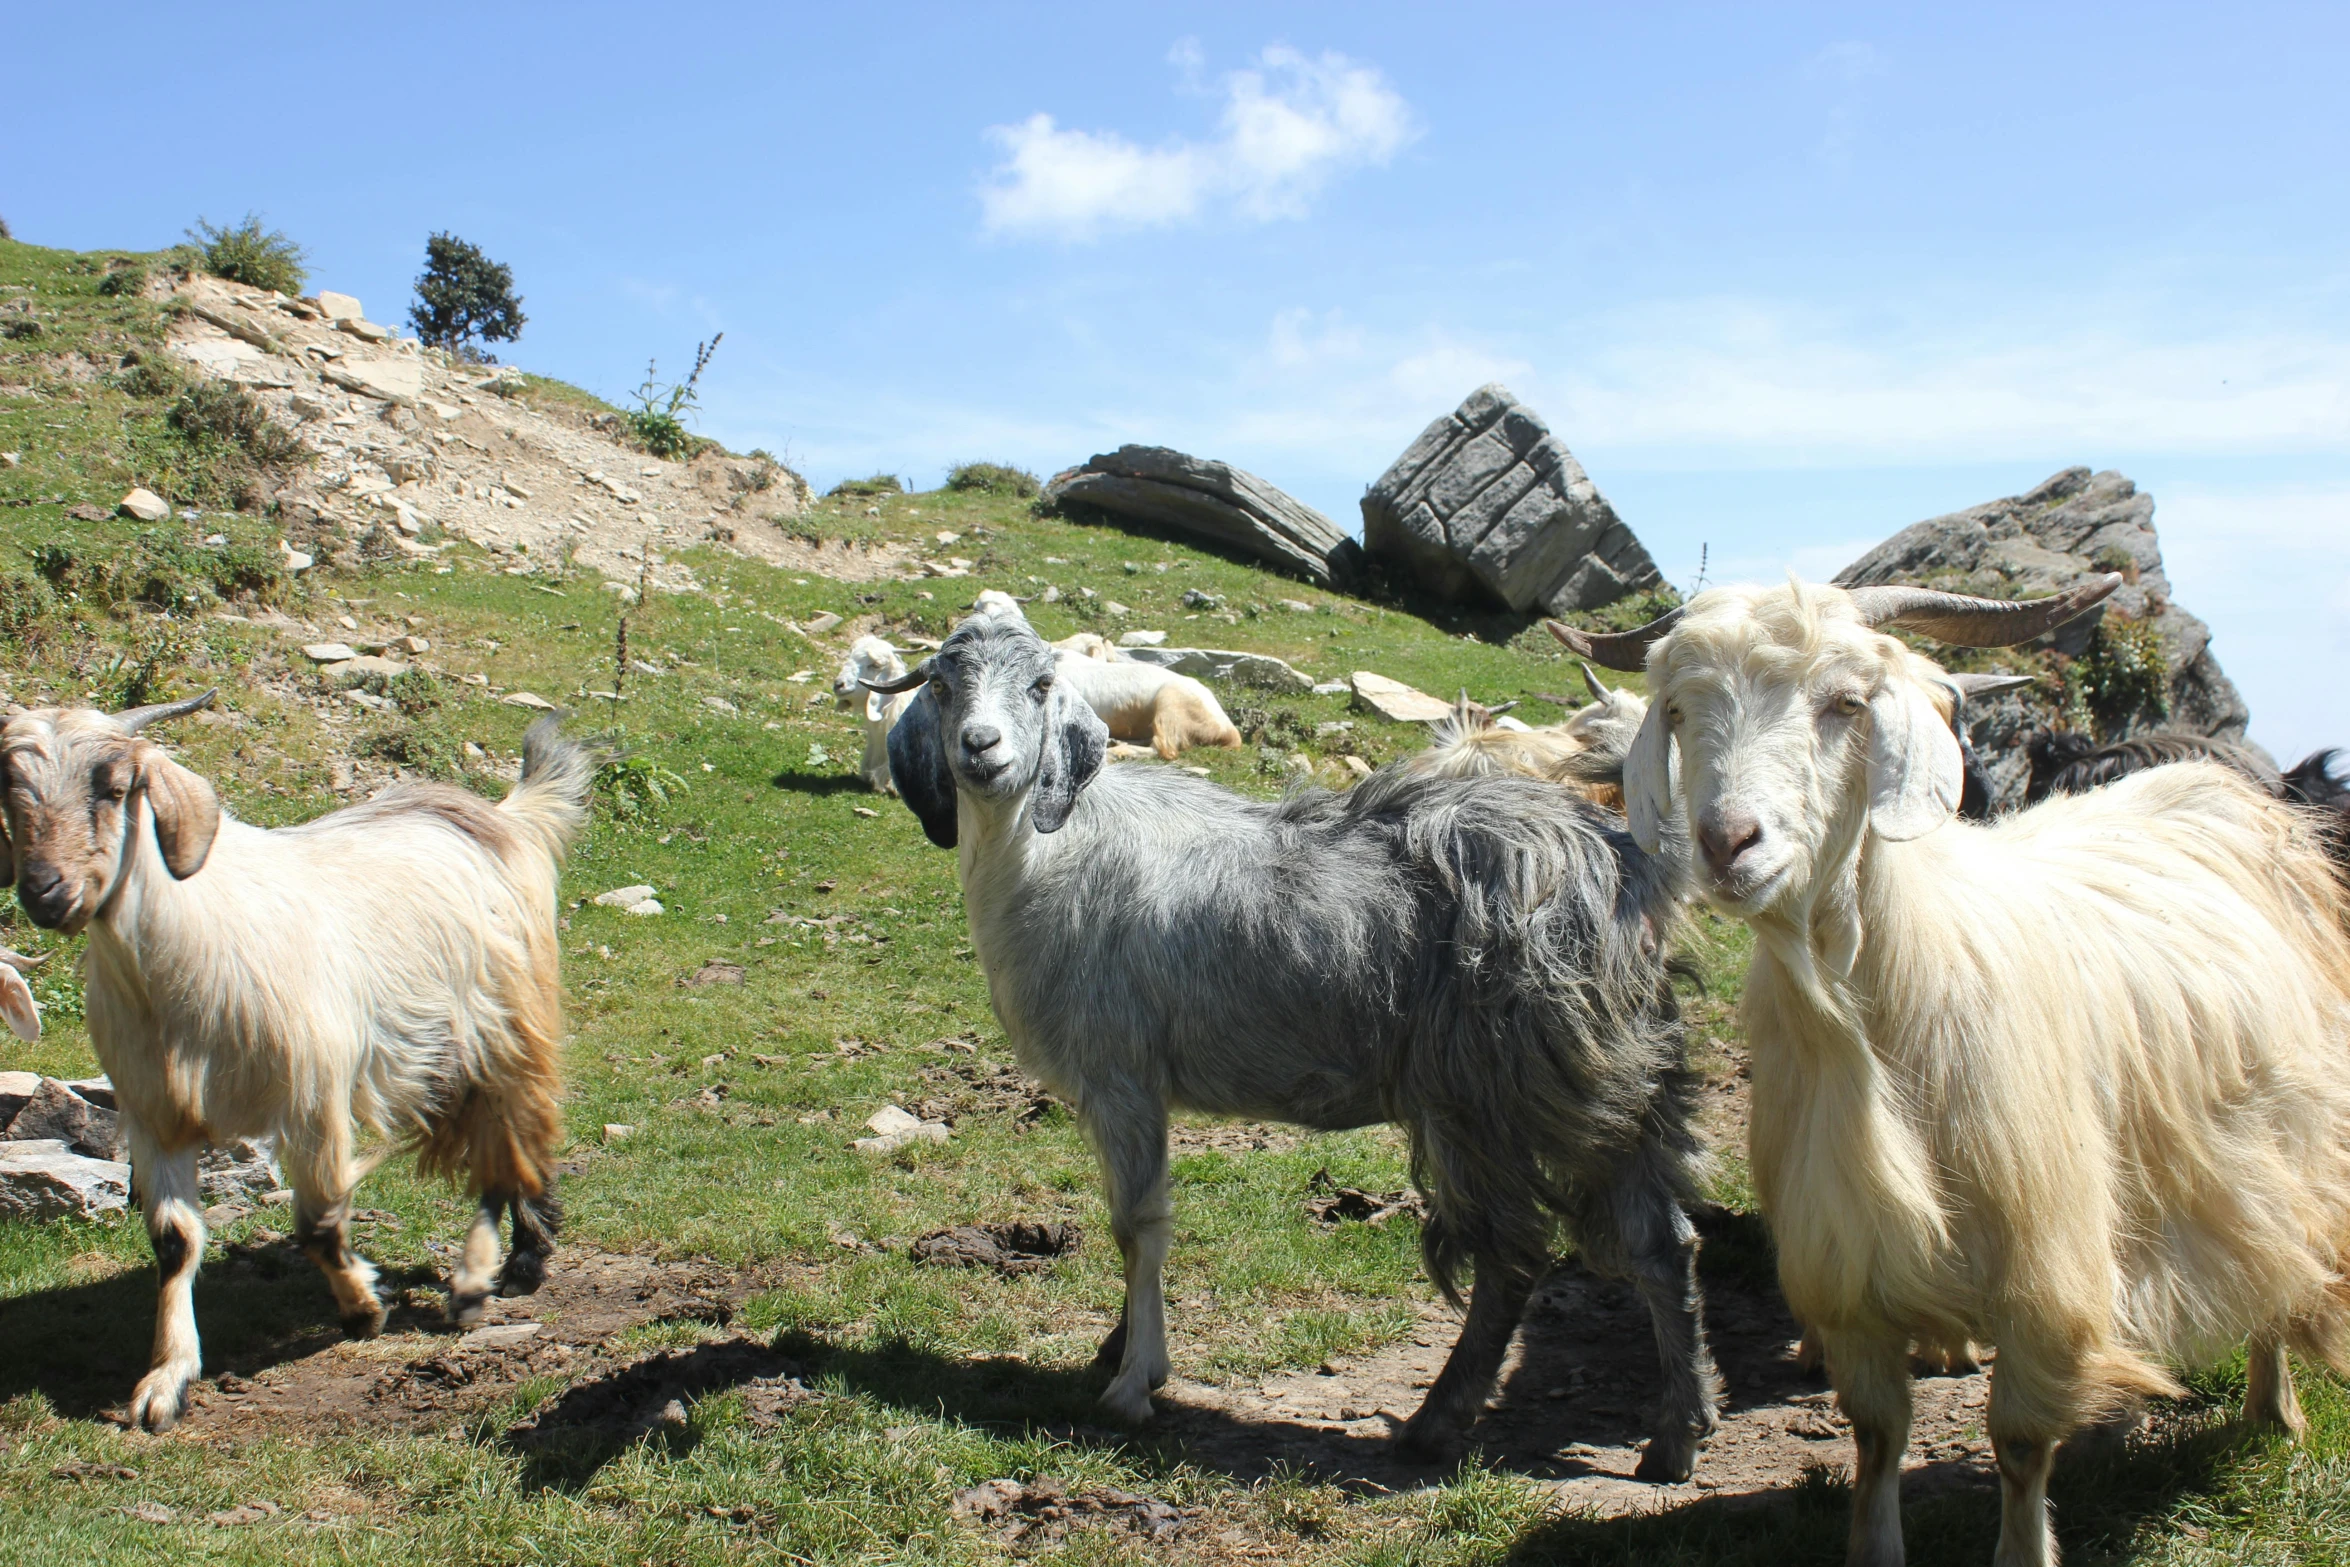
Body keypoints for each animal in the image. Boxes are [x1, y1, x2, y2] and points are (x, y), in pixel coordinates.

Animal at [0, 700, 601, 1437]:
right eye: (11, 789)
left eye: (114, 787)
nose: (44, 892)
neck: (180, 963)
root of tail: (503, 816)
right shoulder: (154, 1114)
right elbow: (173, 1241)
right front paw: (166, 1382)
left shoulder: (312, 1097)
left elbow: (318, 1224)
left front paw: (364, 1307)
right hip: (437, 1051)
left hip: (506, 1029)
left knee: (508, 1138)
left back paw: (501, 1270)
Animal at [874, 615, 1720, 1484]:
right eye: (941, 683)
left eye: (1042, 685)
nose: (980, 747)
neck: (1049, 852)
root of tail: (1625, 864)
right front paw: (1119, 1349)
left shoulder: (1122, 1078)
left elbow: (1137, 1225)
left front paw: (1135, 1381)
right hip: (1615, 1086)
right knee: (1663, 1243)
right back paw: (1676, 1437)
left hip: (1489, 1093)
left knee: (1514, 1258)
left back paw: (1436, 1423)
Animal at [1569, 582, 2350, 1567]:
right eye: (1678, 709)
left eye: (1847, 702)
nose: (1727, 841)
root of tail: (2213, 784)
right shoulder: (1848, 1271)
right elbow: (1875, 1436)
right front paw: (1875, 1546)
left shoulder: (2045, 1271)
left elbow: (2017, 1443)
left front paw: (2024, 1548)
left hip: (2277, 1148)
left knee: (2281, 1264)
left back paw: (2272, 1411)